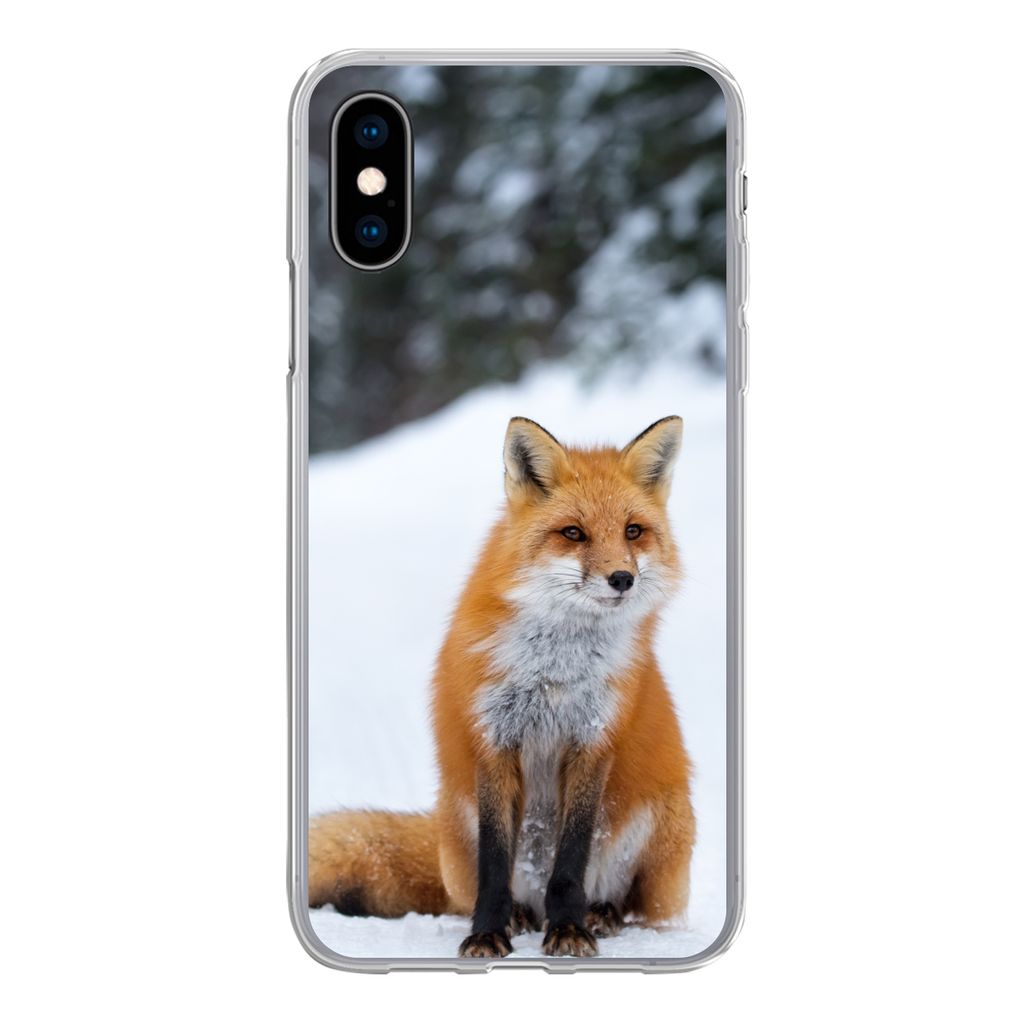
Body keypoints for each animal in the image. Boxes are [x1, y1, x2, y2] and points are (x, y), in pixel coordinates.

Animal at [308, 415, 694, 957]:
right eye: (573, 533)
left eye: (633, 531)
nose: (622, 579)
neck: (555, 671)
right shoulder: (493, 737)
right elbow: (494, 864)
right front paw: (487, 932)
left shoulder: (593, 741)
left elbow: (570, 862)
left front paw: (568, 927)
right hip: (458, 821)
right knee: (496, 889)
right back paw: (518, 915)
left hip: (662, 824)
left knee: (633, 905)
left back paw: (599, 913)